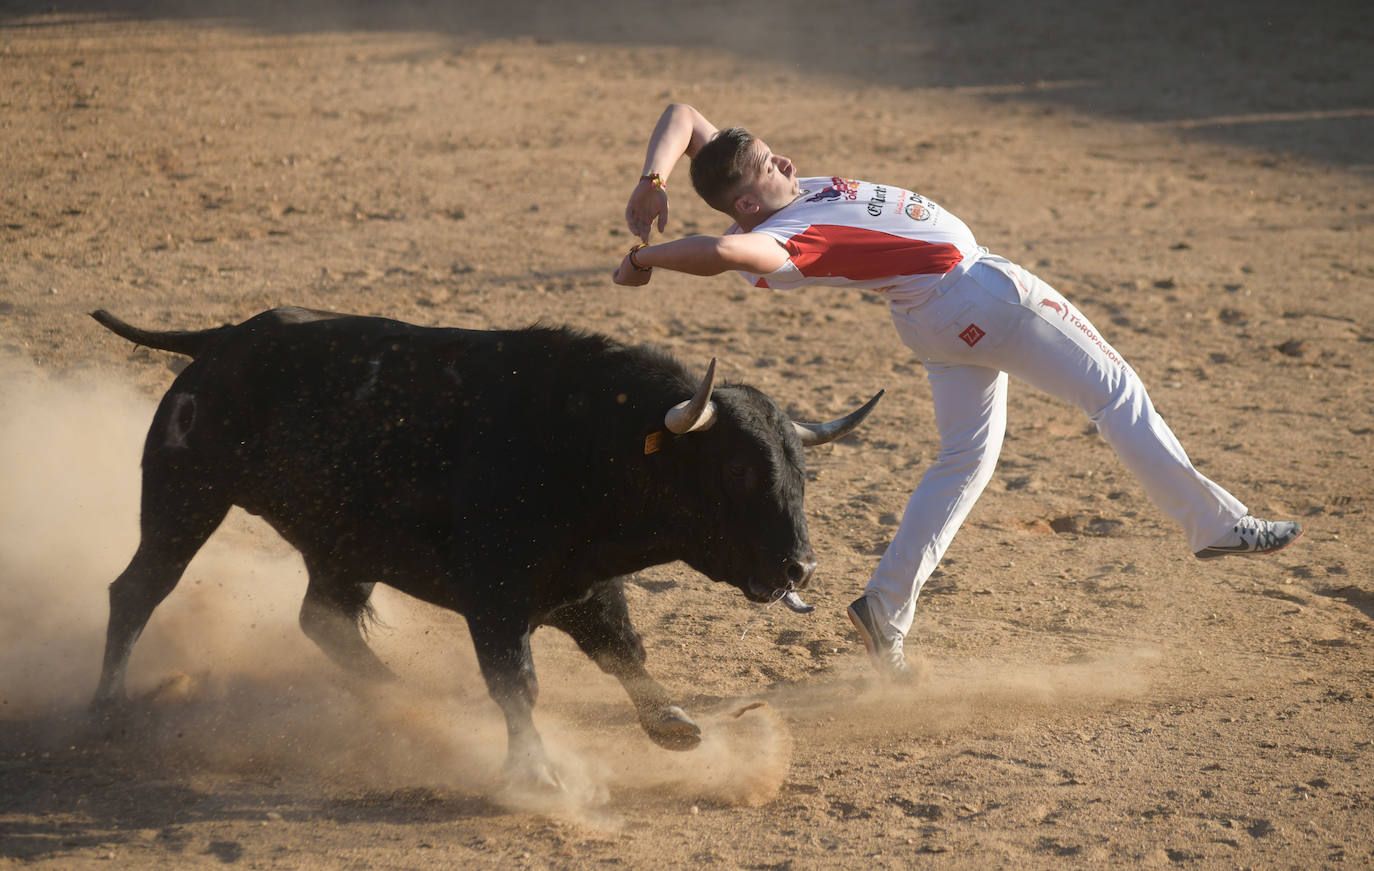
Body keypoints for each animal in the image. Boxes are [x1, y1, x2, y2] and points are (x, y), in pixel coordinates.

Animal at [88, 304, 879, 780]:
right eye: (739, 468)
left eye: (800, 468)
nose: (799, 566)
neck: (590, 442)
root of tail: (222, 338)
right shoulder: (493, 594)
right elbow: (517, 681)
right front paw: (536, 774)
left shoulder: (586, 583)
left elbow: (622, 650)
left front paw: (674, 723)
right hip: (185, 496)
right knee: (137, 590)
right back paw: (106, 707)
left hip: (339, 545)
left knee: (324, 619)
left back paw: (403, 699)